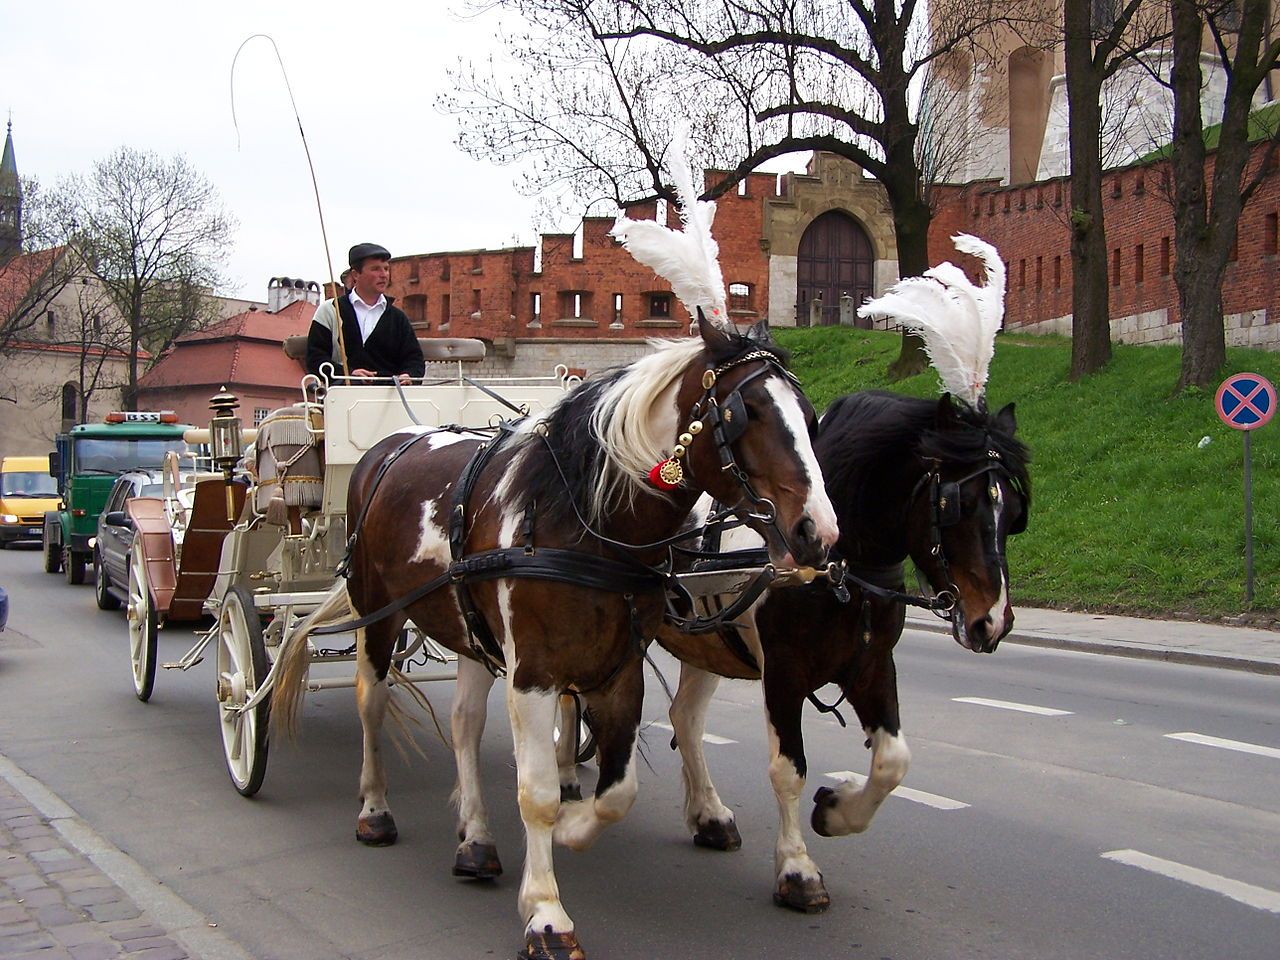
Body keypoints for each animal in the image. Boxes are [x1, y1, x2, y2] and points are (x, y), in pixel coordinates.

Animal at [270, 320, 839, 960]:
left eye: (810, 417)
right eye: (749, 413)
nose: (819, 533)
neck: (581, 524)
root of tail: (390, 444)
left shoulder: (618, 671)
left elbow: (618, 792)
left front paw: (573, 825)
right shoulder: (533, 677)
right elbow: (537, 792)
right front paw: (546, 912)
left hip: (469, 630)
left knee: (465, 724)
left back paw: (476, 839)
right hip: (377, 614)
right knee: (372, 703)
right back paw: (374, 809)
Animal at [650, 391, 1029, 916]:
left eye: (1013, 513)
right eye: (960, 503)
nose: (991, 621)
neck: (837, 567)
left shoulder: (872, 667)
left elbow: (893, 761)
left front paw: (835, 811)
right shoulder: (783, 672)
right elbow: (788, 770)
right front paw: (797, 870)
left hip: (705, 643)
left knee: (684, 719)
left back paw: (709, 816)